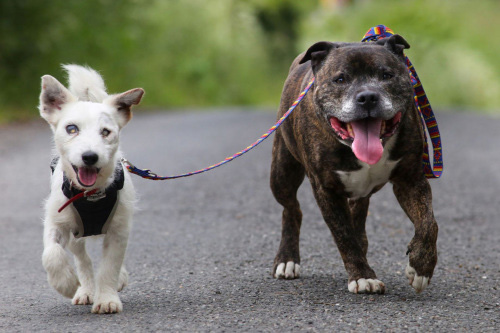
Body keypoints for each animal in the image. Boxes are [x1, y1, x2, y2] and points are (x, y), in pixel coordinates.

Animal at [39, 63, 144, 312]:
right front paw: (66, 283)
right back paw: (85, 289)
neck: (91, 194)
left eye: (105, 132)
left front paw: (106, 299)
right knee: (82, 259)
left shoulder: (119, 230)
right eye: (71, 129)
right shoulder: (56, 221)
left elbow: (109, 266)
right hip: (76, 234)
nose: (89, 156)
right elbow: (52, 254)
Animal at [272, 34, 440, 294]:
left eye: (386, 75)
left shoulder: (411, 180)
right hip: (282, 174)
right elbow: (344, 236)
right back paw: (287, 259)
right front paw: (362, 276)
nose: (368, 96)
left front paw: (420, 267)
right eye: (340, 79)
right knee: (292, 209)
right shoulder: (326, 190)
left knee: (358, 214)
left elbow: (428, 223)